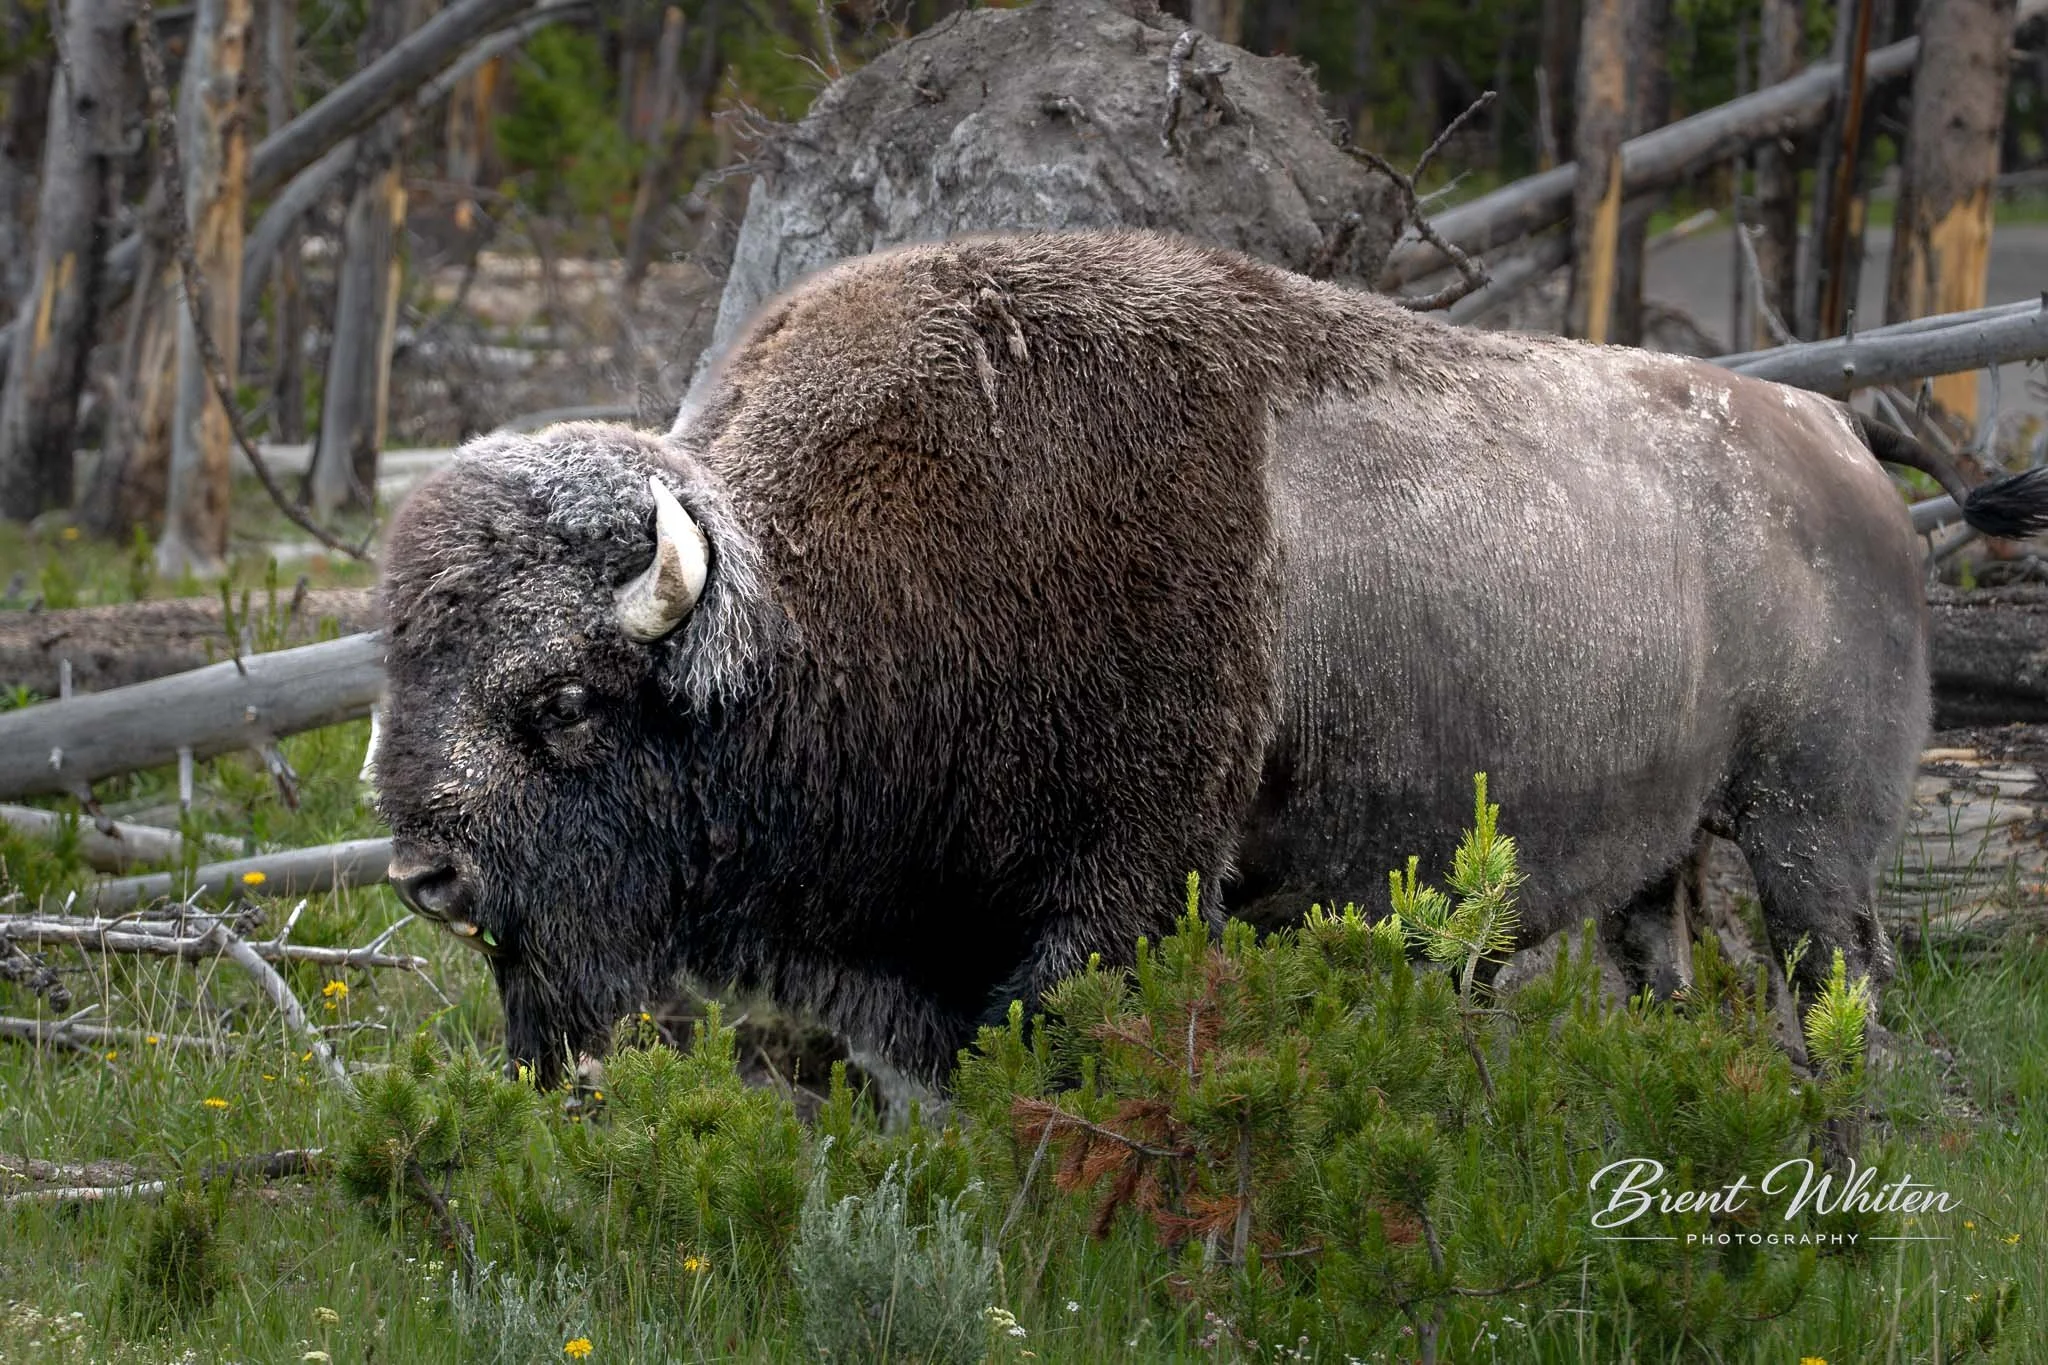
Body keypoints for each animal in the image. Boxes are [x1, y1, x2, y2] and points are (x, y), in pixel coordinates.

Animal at [374, 230, 2048, 1085]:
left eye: (563, 702)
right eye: (406, 674)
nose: (424, 875)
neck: (821, 605)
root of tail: (1844, 450)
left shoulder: (1111, 899)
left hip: (1809, 840)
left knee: (1842, 988)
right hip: (1668, 857)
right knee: (1670, 967)